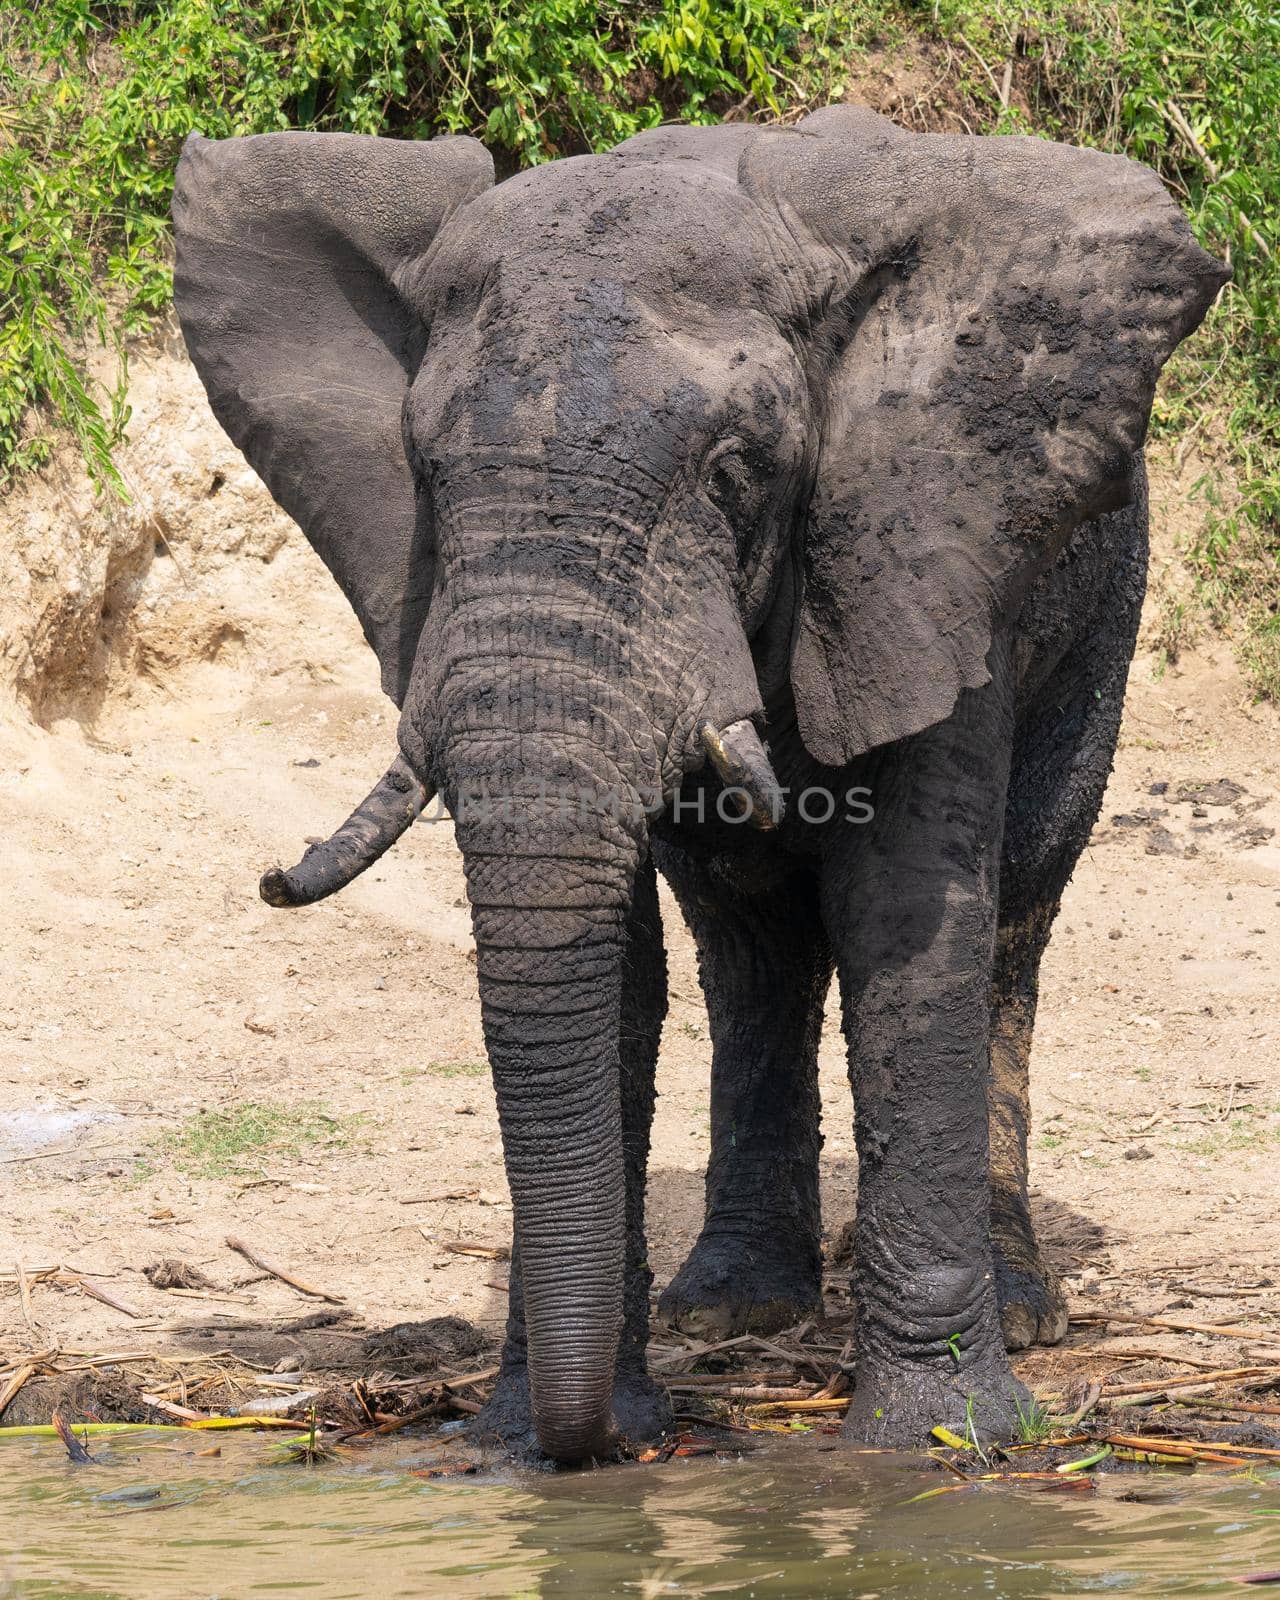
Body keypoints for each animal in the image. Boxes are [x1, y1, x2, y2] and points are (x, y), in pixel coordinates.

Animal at [169, 109, 1222, 1465]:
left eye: (733, 471)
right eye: (425, 471)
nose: (595, 1445)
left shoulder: (919, 541)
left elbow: (908, 920)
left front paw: (937, 1450)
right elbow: (611, 961)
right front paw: (540, 1436)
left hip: (1098, 594)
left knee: (1010, 918)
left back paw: (1022, 1311)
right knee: (748, 938)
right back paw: (732, 1309)